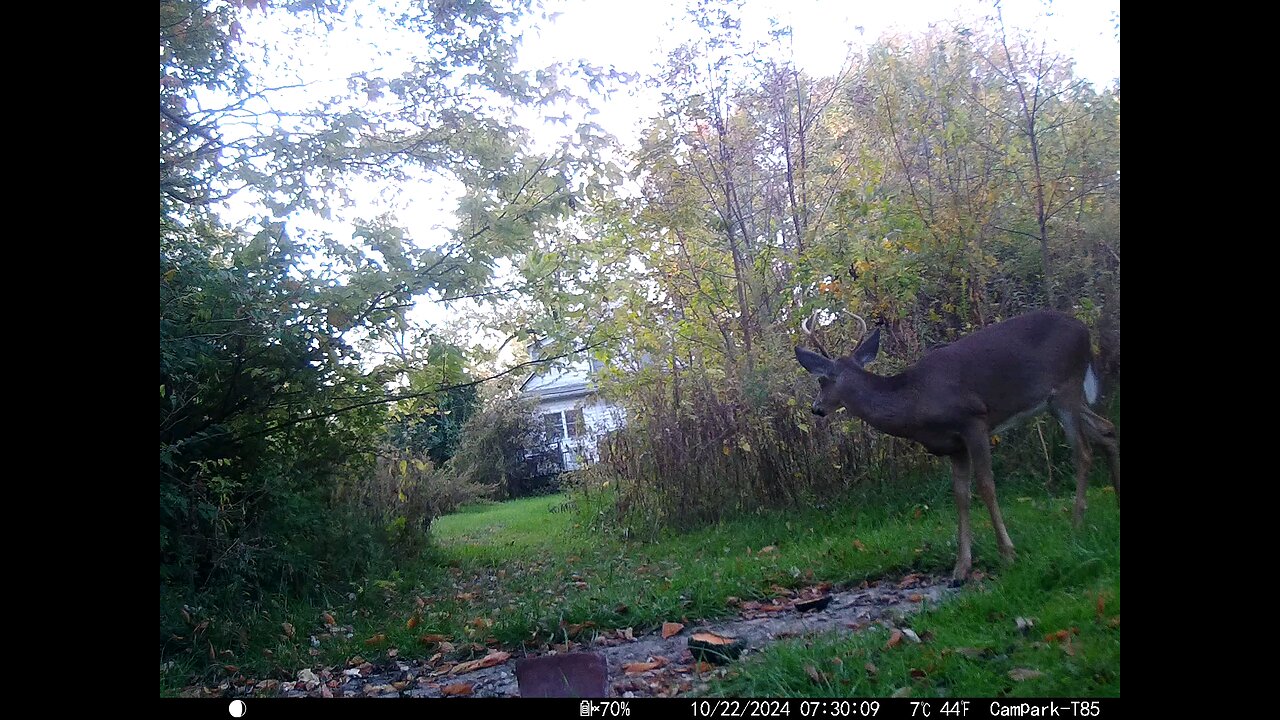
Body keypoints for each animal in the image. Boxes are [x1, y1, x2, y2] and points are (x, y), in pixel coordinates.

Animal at [795, 309, 1120, 583]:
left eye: (822, 379)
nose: (816, 408)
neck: (914, 400)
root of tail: (1085, 331)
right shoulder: (954, 446)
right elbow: (961, 495)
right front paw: (961, 567)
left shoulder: (974, 421)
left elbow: (986, 486)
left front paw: (1007, 553)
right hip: (1058, 400)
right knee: (1107, 430)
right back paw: (1114, 503)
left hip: (1066, 387)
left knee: (1083, 452)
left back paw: (1076, 523)